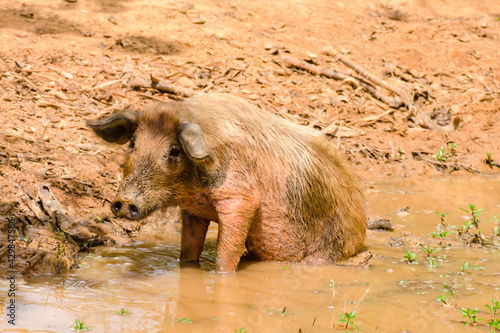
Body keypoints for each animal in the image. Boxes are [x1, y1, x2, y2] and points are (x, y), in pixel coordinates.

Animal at [88, 93, 366, 272]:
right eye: (133, 144)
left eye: (174, 150)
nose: (124, 201)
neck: (196, 187)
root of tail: (360, 228)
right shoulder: (192, 211)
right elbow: (188, 252)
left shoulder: (241, 199)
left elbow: (227, 252)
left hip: (328, 251)